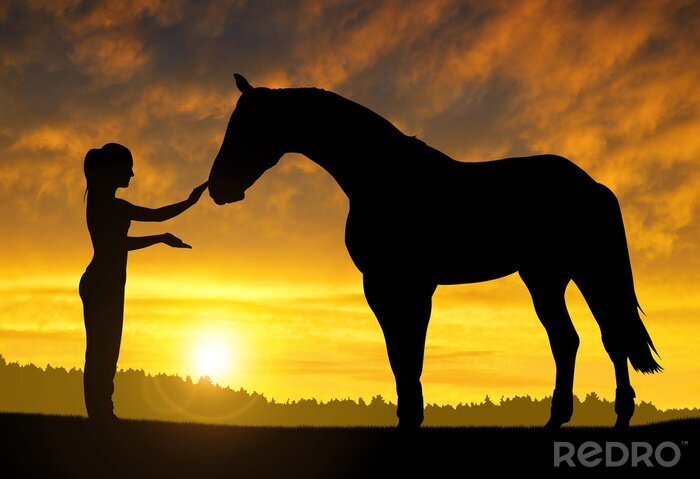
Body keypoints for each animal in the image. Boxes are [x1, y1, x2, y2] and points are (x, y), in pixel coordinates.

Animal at [208, 74, 661, 429]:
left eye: (246, 128)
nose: (218, 189)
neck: (382, 176)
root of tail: (593, 185)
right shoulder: (390, 287)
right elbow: (400, 354)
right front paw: (409, 416)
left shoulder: (404, 286)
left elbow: (409, 352)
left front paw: (411, 417)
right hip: (552, 277)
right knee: (581, 339)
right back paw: (576, 418)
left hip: (577, 273)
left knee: (601, 337)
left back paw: (602, 416)